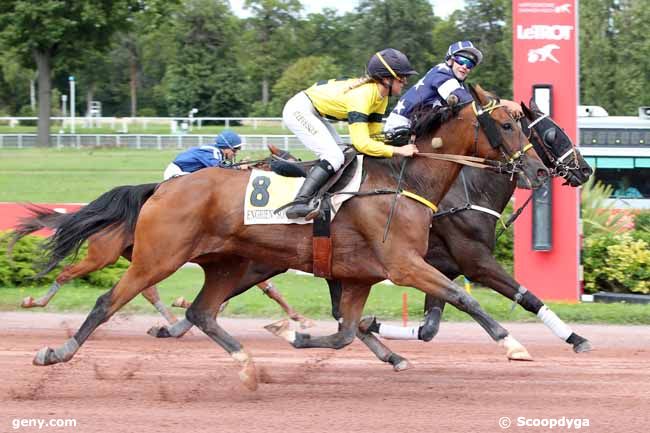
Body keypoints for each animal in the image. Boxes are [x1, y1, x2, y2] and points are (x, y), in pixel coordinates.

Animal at [24, 83, 548, 388]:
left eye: (528, 126)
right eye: (507, 124)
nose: (539, 171)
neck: (405, 180)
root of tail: (165, 186)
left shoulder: (359, 275)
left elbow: (346, 331)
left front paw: (301, 336)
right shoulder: (403, 265)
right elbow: (466, 298)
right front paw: (514, 345)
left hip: (227, 263)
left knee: (201, 311)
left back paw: (246, 362)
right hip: (158, 257)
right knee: (107, 302)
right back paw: (56, 350)